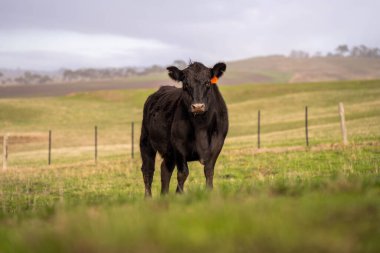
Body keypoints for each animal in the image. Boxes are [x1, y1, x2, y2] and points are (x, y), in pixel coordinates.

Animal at [140, 60, 227, 196]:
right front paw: (179, 195)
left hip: (168, 151)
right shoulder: (179, 145)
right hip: (145, 141)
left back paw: (164, 195)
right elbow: (183, 173)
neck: (201, 125)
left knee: (165, 169)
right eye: (185, 84)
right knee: (148, 170)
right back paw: (148, 198)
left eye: (207, 83)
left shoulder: (218, 142)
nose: (198, 106)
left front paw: (209, 192)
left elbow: (208, 170)